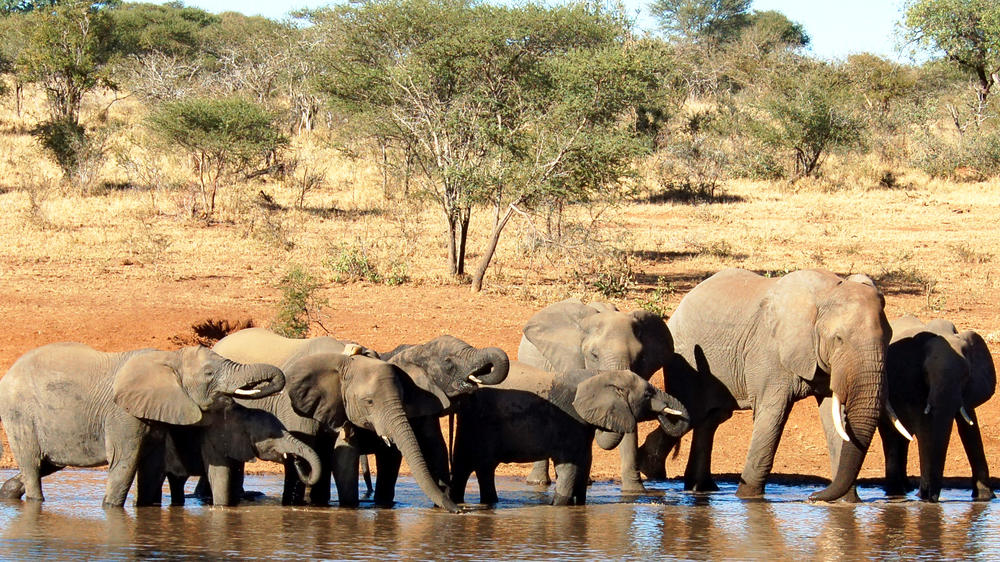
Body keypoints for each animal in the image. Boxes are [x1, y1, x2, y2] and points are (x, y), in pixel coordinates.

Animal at [0, 343, 285, 507]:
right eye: (209, 374)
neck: (169, 359)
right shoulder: (122, 414)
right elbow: (125, 463)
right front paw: (111, 508)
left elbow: (152, 466)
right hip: (19, 415)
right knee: (31, 463)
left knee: (46, 464)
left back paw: (8, 492)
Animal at [449, 364, 689, 506]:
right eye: (648, 394)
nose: (665, 411)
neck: (599, 375)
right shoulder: (568, 419)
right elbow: (569, 466)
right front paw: (559, 506)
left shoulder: (582, 424)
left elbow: (584, 462)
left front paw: (579, 506)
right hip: (476, 421)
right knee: (468, 463)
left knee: (478, 466)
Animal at [636, 268, 909, 501]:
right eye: (838, 339)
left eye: (888, 337)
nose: (812, 496)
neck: (826, 294)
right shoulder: (768, 352)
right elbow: (772, 416)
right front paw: (749, 499)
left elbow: (835, 420)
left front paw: (846, 502)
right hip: (686, 359)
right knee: (691, 413)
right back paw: (651, 468)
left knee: (710, 419)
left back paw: (700, 488)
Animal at [879, 314, 996, 502]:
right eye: (926, 374)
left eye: (966, 375)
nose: (930, 497)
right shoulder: (913, 382)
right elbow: (925, 429)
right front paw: (925, 498)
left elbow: (970, 429)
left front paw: (984, 498)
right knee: (891, 435)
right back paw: (897, 493)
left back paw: (906, 489)